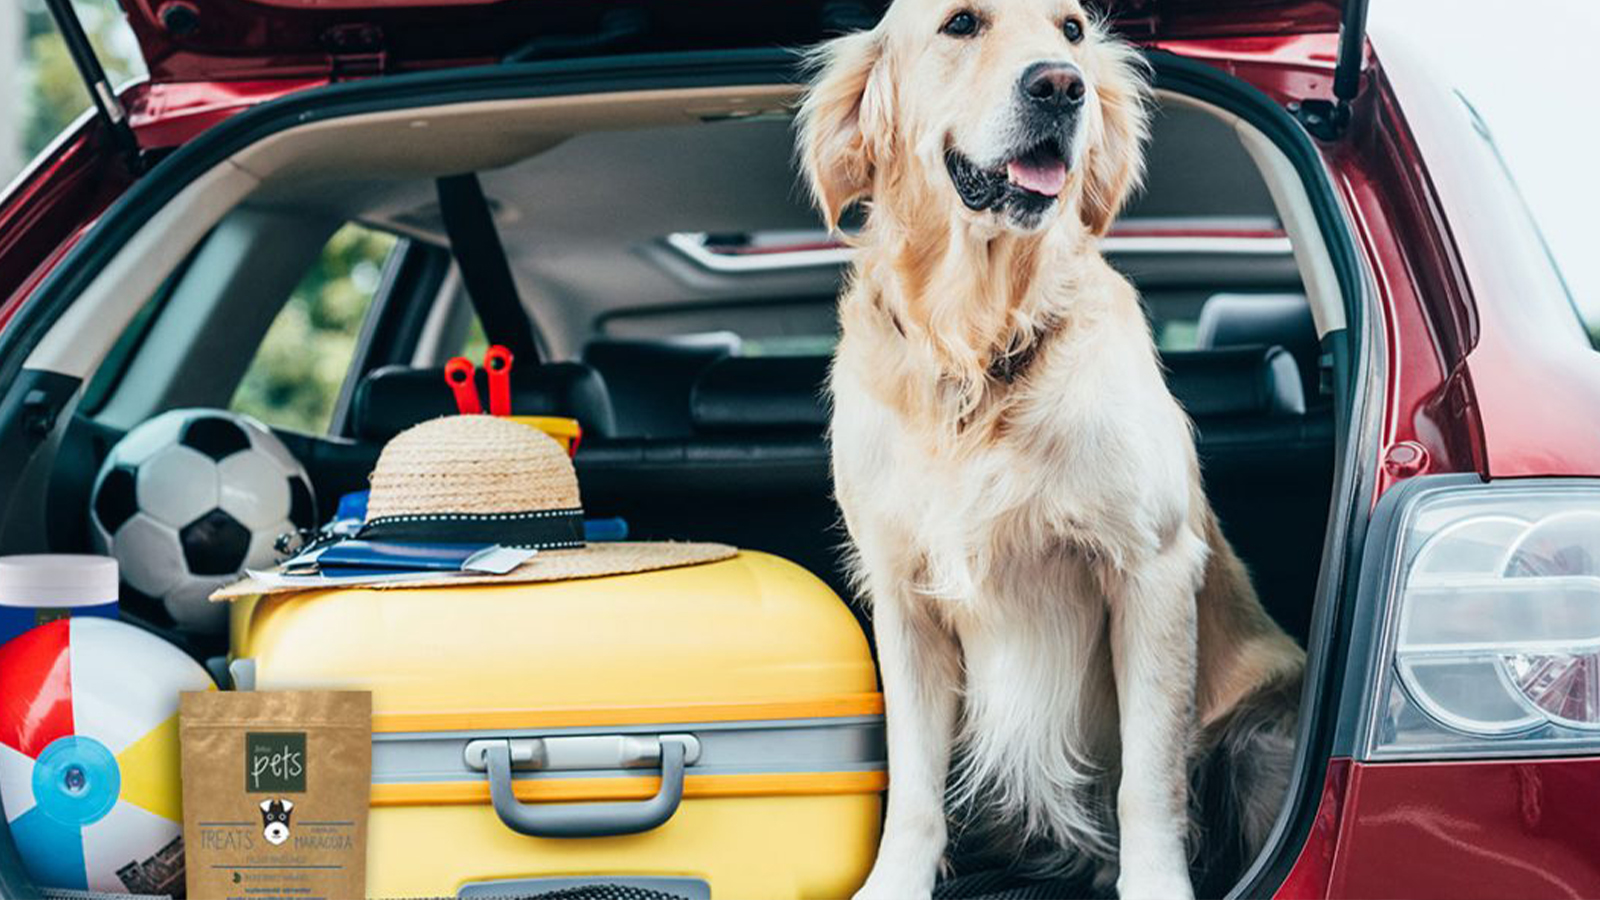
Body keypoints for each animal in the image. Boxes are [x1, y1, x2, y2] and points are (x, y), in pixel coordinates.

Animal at [800, 3, 1312, 890]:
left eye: (1071, 29)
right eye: (960, 23)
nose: (1061, 86)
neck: (978, 349)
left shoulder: (1149, 569)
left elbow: (1149, 778)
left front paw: (1156, 886)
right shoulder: (903, 595)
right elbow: (914, 783)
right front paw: (893, 882)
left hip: (1263, 732)